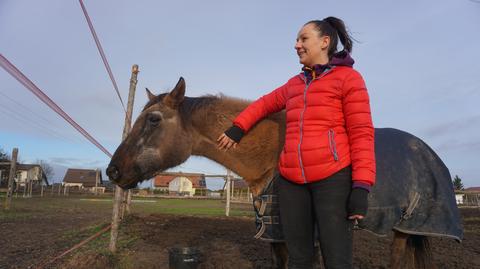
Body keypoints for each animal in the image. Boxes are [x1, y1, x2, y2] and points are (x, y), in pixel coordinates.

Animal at [108, 76, 462, 266]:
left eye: (153, 119)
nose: (113, 171)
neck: (271, 157)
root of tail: (429, 153)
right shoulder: (276, 234)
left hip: (406, 227)